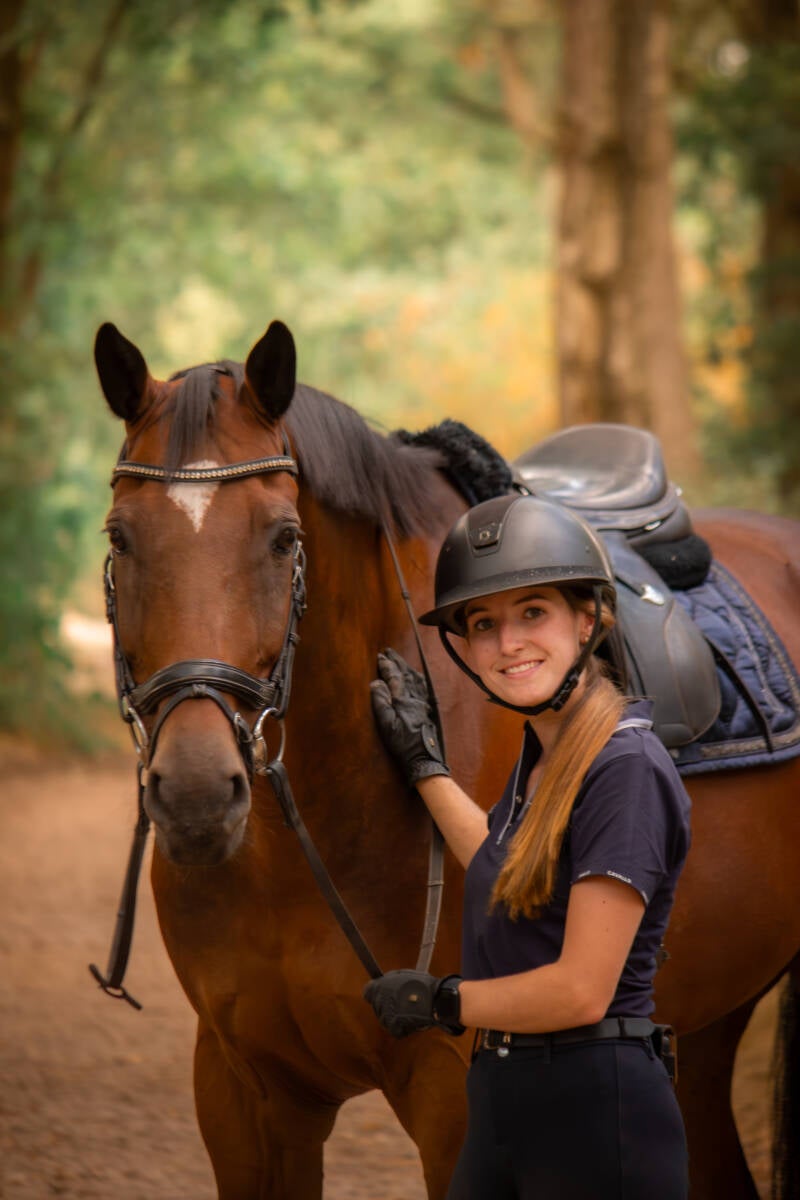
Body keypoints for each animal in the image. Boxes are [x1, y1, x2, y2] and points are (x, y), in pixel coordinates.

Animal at [93, 317, 800, 1200]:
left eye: (285, 539)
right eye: (120, 538)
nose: (193, 794)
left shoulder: (454, 1099)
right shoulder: (242, 1094)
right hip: (700, 1028)